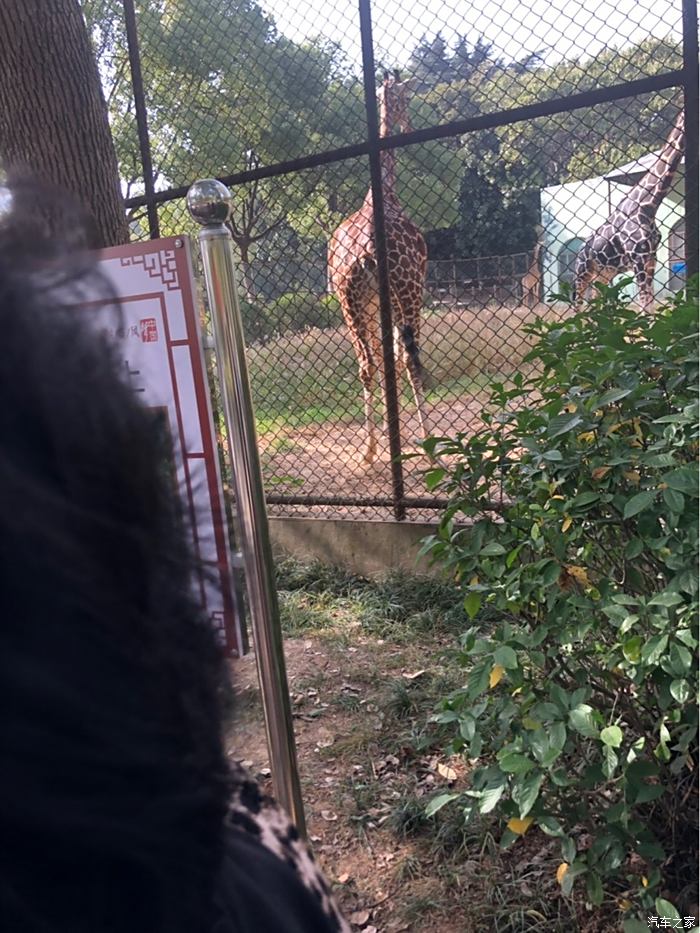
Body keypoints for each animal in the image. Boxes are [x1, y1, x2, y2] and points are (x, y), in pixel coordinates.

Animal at [330, 71, 432, 464]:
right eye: (405, 98)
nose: (410, 125)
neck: (383, 192)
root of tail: (367, 250)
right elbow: (402, 358)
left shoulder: (373, 304)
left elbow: (384, 359)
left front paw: (391, 435)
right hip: (409, 290)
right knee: (410, 359)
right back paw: (430, 446)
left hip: (348, 302)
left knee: (367, 364)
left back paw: (371, 451)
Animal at [576, 111, 684, 310]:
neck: (648, 206)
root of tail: (580, 250)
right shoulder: (638, 258)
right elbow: (643, 305)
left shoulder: (651, 259)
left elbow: (649, 304)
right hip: (582, 273)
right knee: (576, 304)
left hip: (603, 274)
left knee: (595, 302)